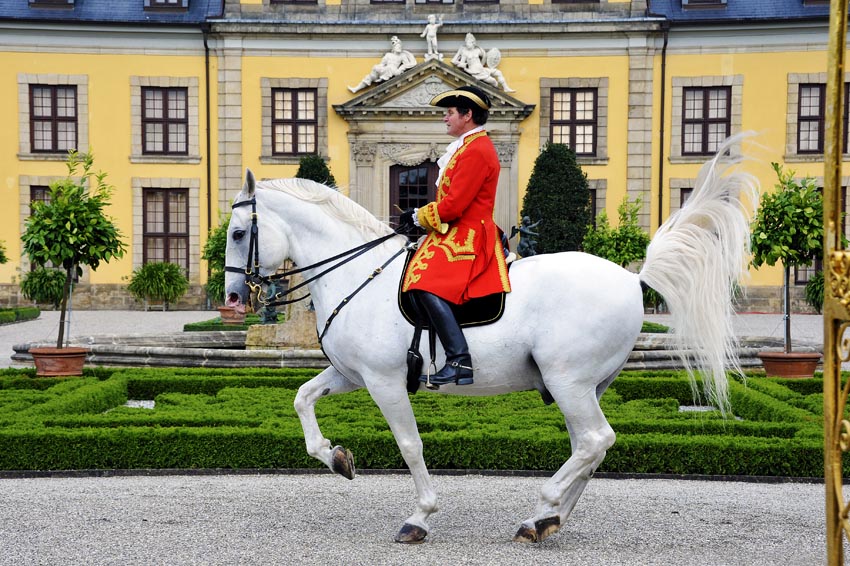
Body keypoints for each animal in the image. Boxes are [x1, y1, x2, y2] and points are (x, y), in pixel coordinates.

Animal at [224, 142, 758, 544]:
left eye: (238, 232)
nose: (232, 296)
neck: (360, 274)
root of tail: (632, 278)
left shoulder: (384, 381)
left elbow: (410, 444)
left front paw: (420, 516)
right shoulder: (352, 374)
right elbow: (302, 398)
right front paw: (335, 457)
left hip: (568, 381)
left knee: (594, 441)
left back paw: (543, 506)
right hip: (582, 386)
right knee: (589, 447)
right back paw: (545, 520)